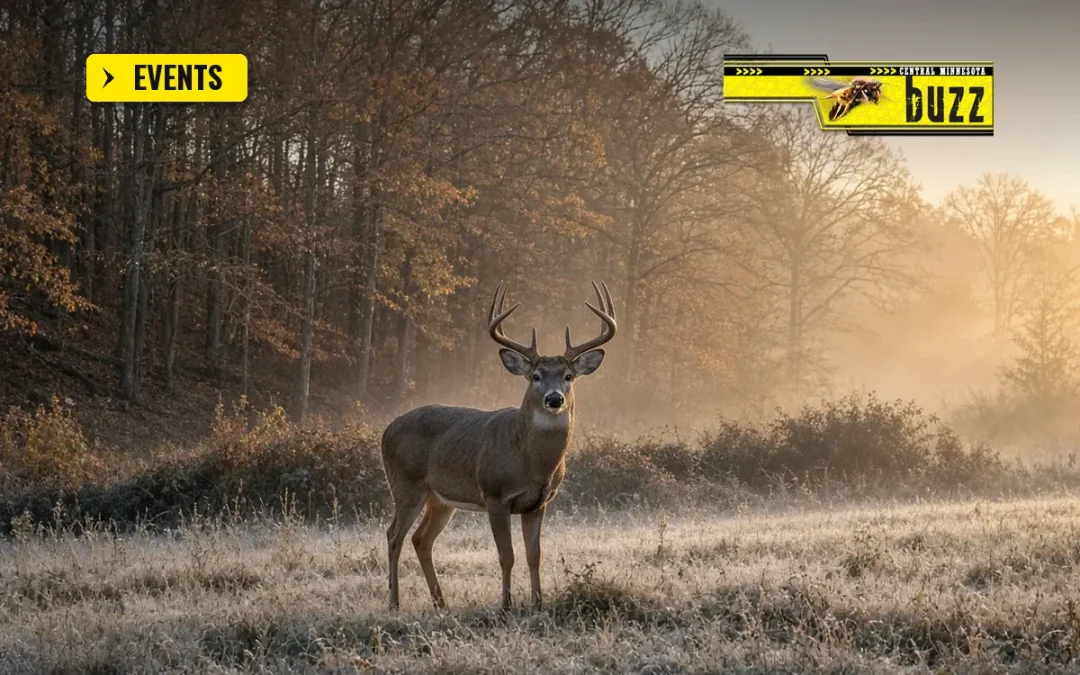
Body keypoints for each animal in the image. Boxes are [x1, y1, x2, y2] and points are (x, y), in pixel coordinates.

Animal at [380, 280, 616, 612]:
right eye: (535, 376)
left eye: (568, 376)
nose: (554, 399)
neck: (530, 462)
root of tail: (386, 429)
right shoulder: (495, 494)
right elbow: (507, 555)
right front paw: (506, 605)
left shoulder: (539, 503)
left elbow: (534, 556)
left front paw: (538, 603)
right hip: (405, 485)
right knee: (393, 536)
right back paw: (395, 603)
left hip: (439, 499)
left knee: (421, 540)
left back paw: (441, 603)